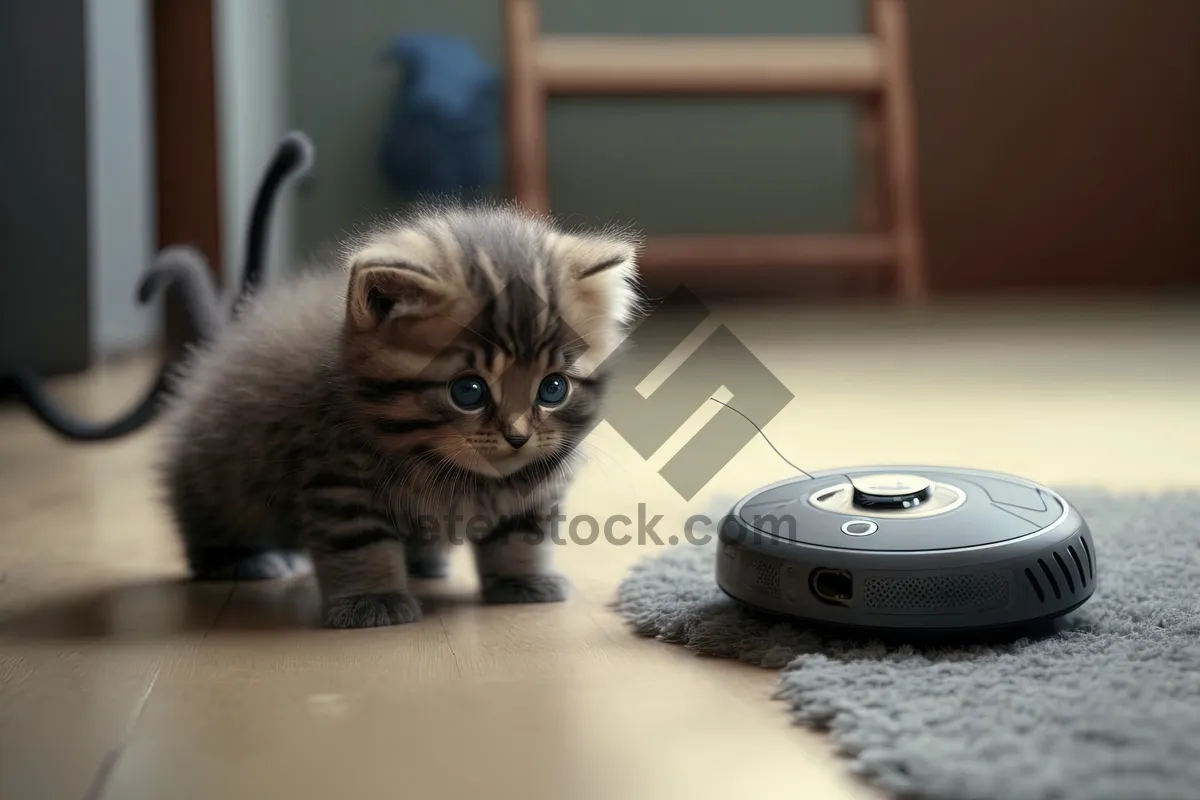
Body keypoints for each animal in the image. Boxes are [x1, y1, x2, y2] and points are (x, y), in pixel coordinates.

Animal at [159, 203, 648, 628]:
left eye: (553, 388)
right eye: (468, 391)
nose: (517, 437)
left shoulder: (536, 487)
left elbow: (522, 533)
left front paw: (523, 580)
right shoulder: (339, 481)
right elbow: (363, 545)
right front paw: (371, 600)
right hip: (222, 473)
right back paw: (242, 559)